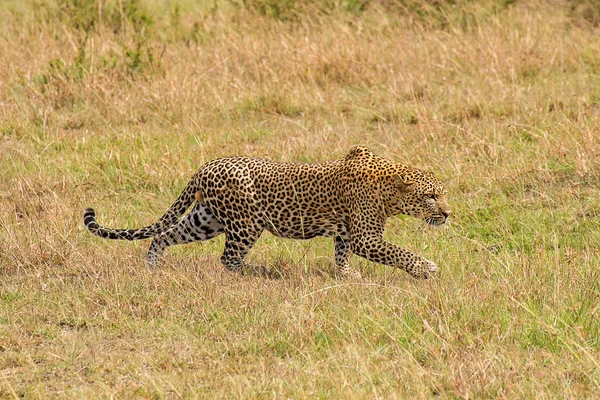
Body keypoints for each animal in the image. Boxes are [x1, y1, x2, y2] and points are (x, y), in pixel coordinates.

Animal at [83, 145, 450, 280]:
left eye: (443, 194)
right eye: (431, 196)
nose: (447, 214)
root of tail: (205, 167)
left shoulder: (347, 232)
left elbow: (341, 253)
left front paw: (346, 275)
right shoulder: (364, 237)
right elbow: (398, 252)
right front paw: (426, 268)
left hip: (206, 220)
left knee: (163, 236)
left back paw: (153, 266)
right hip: (246, 224)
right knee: (229, 259)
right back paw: (263, 272)